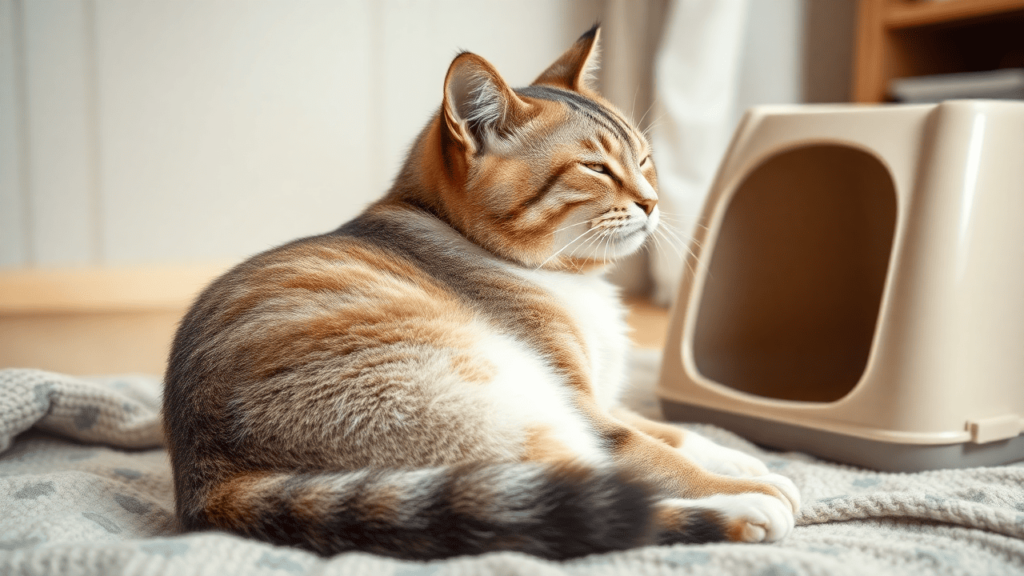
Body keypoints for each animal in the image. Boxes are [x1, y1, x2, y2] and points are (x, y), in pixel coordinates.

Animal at [161, 24, 798, 557]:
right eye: (595, 168)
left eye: (645, 160)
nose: (653, 201)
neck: (568, 279)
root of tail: (207, 483)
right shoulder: (582, 406)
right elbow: (654, 453)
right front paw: (748, 486)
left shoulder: (602, 398)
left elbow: (676, 432)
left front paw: (751, 461)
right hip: (514, 413)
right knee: (594, 507)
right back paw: (742, 510)